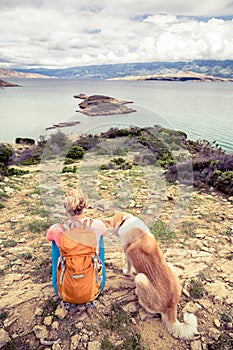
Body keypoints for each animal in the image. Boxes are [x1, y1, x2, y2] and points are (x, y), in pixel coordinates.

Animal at [105, 212, 198, 340]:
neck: (126, 221)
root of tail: (170, 306)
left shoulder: (127, 256)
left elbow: (128, 267)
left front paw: (126, 272)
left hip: (140, 278)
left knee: (149, 308)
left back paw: (137, 294)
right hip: (170, 265)